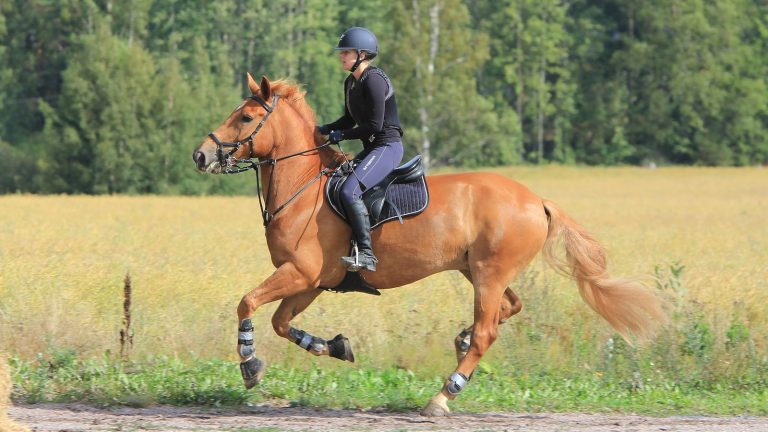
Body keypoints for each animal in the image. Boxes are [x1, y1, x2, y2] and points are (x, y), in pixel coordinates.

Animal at [192, 73, 668, 417]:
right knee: (506, 309)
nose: (201, 156)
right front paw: (335, 347)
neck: (303, 187)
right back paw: (460, 341)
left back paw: (443, 395)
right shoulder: (312, 281)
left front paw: (249, 364)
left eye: (246, 118)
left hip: (489, 273)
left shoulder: (300, 273)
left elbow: (248, 303)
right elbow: (280, 323)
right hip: (479, 270)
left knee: (487, 330)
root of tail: (537, 201)